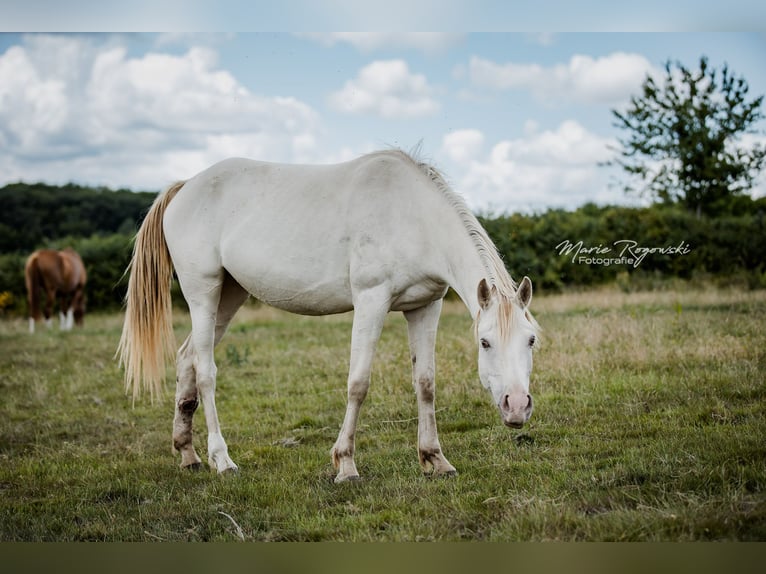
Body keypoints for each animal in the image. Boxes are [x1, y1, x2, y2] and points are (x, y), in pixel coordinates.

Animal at [117, 149, 540, 482]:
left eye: (532, 340)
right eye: (485, 342)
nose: (517, 407)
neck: (412, 215)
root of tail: (186, 186)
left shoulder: (424, 307)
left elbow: (425, 384)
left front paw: (435, 459)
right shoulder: (371, 301)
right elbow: (358, 383)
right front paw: (345, 464)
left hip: (228, 296)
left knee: (186, 358)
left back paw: (188, 454)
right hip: (203, 293)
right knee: (205, 371)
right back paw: (222, 460)